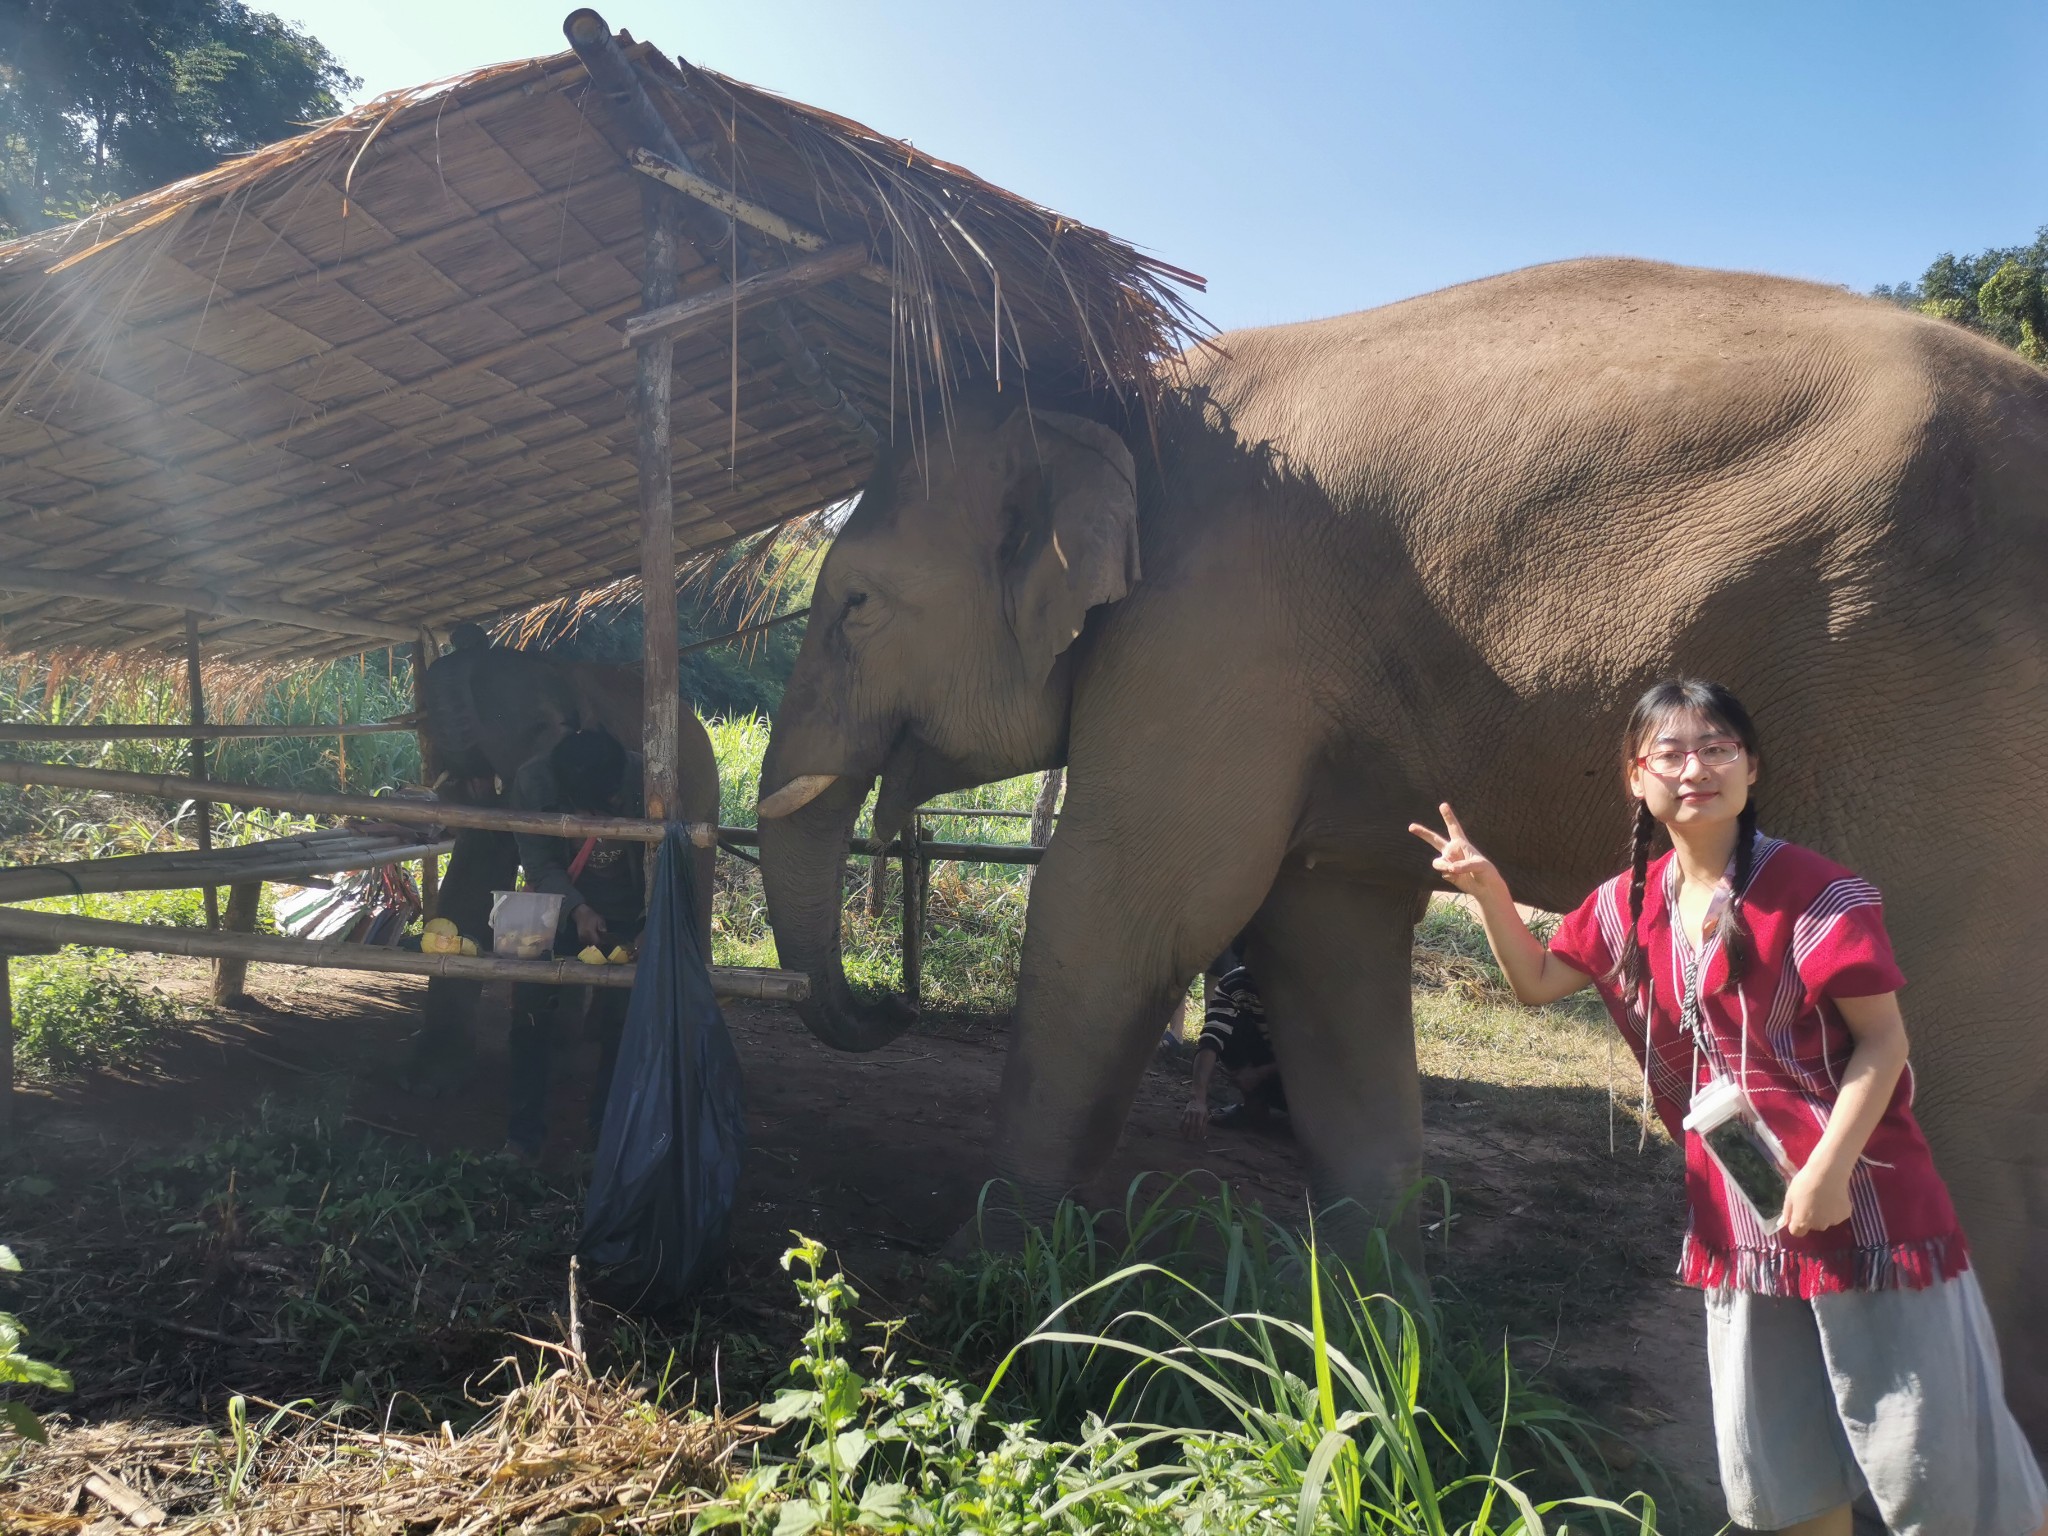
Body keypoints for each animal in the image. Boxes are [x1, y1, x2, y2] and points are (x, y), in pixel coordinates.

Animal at [761, 256, 2048, 1458]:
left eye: (854, 607)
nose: (881, 1006)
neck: (1113, 401)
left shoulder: (1208, 628)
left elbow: (1132, 905)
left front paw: (973, 1287)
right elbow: (1320, 939)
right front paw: (1384, 1357)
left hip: (1923, 701)